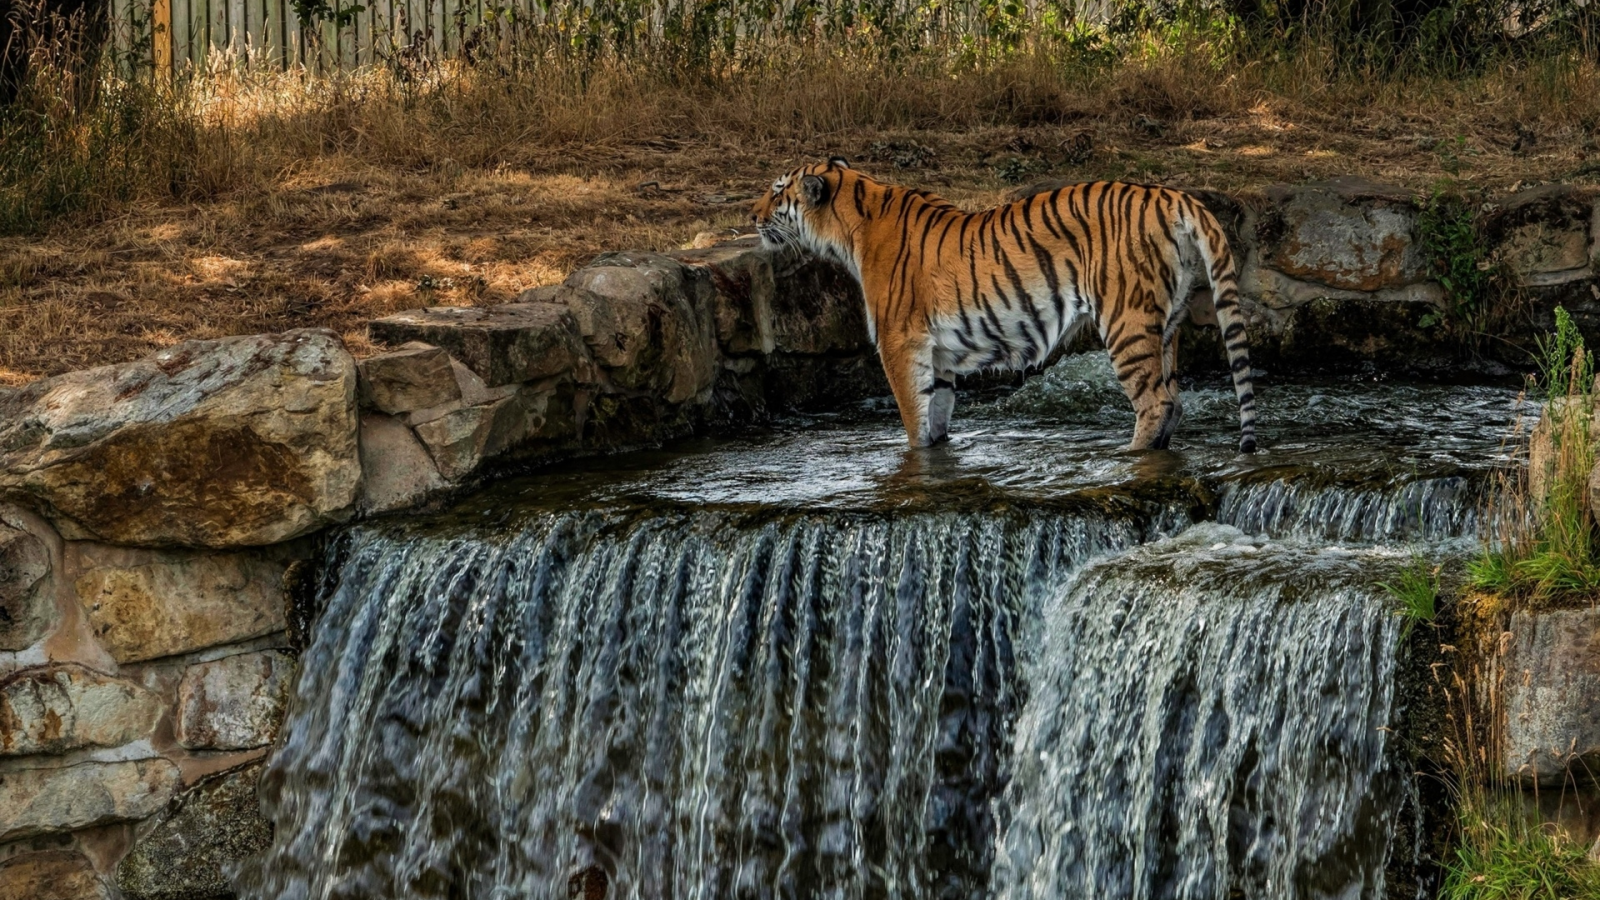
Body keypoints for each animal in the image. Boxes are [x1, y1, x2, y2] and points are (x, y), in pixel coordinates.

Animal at [752, 157, 1260, 451]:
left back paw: (1129, 454)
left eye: (777, 191)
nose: (752, 215)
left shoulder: (899, 343)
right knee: (1175, 400)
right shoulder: (939, 355)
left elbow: (913, 420)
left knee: (1157, 403)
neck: (850, 223)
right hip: (1168, 323)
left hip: (1127, 322)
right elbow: (937, 415)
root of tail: (1171, 194)